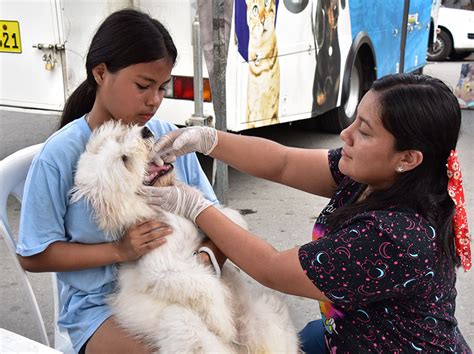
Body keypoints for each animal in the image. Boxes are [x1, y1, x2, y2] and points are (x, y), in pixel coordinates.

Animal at [70, 121, 298, 352]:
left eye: (120, 137)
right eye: (124, 160)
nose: (145, 131)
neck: (160, 212)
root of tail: (240, 347)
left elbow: (225, 217)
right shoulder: (161, 269)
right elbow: (203, 283)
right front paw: (222, 323)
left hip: (268, 312)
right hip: (181, 322)